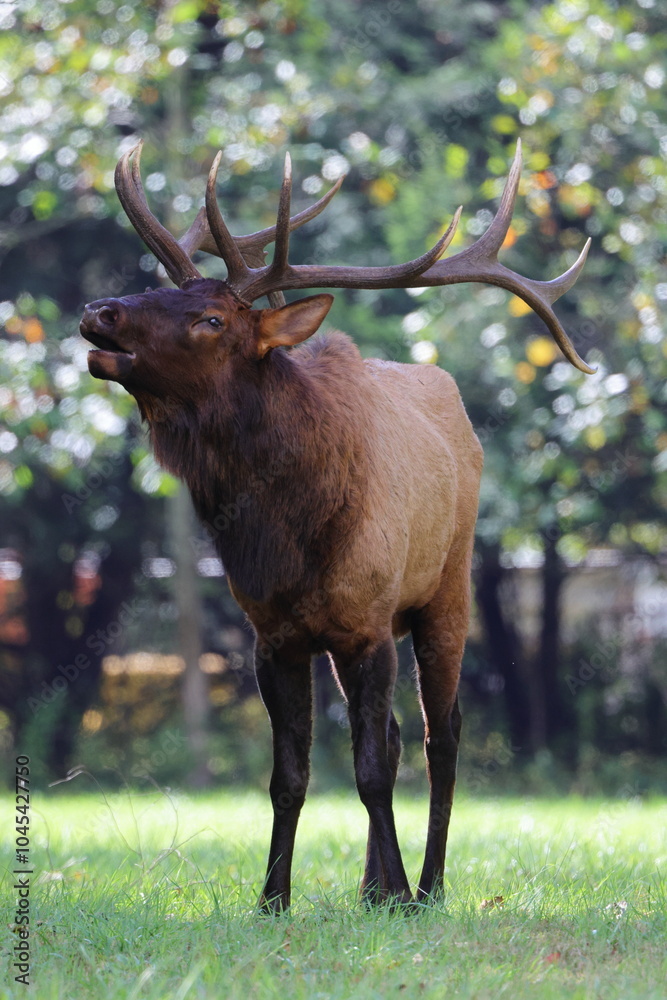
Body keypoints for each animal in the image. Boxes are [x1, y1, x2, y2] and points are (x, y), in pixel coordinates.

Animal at [79, 138, 591, 911]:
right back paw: (372, 887)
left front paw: (402, 889)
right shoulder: (274, 636)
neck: (288, 539)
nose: (100, 311)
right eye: (158, 291)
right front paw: (273, 899)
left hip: (446, 591)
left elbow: (372, 770)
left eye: (211, 320)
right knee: (398, 732)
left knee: (441, 734)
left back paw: (428, 886)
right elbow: (289, 777)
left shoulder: (368, 624)